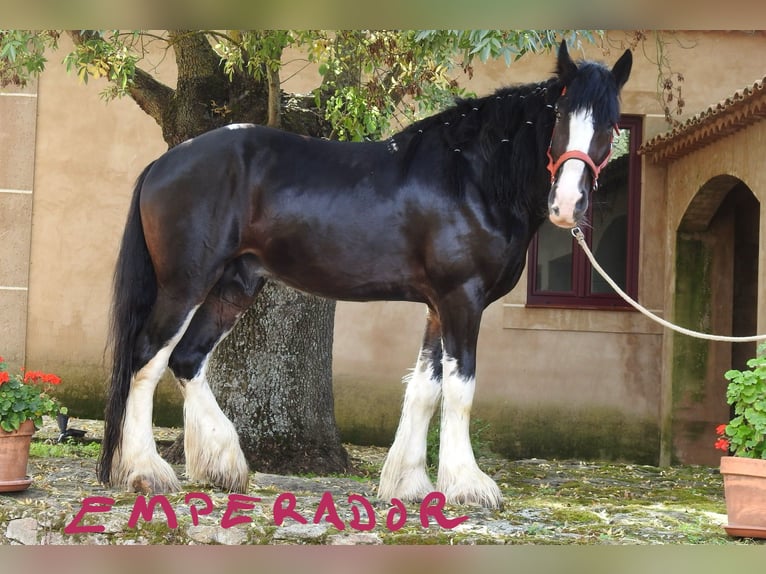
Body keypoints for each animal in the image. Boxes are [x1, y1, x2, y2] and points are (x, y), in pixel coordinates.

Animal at [99, 40, 632, 508]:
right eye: (560, 117)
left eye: (610, 124)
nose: (567, 206)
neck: (472, 177)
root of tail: (164, 162)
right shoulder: (462, 299)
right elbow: (460, 389)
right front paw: (468, 486)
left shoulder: (437, 305)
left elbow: (425, 389)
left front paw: (409, 484)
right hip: (184, 285)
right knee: (146, 360)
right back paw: (146, 472)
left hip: (234, 286)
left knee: (187, 359)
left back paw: (222, 466)